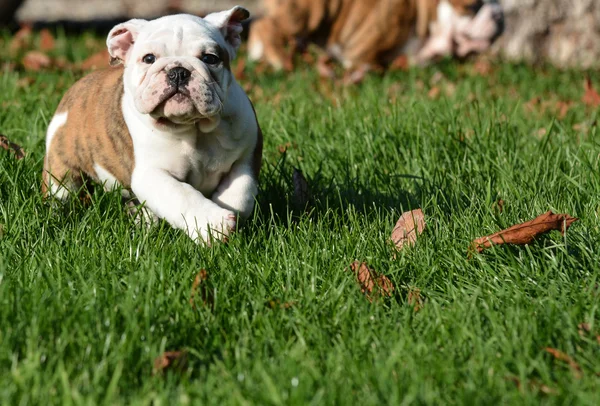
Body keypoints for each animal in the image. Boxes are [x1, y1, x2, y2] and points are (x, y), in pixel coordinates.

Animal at [43, 7, 264, 244]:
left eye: (210, 58)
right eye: (149, 58)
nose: (178, 71)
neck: (193, 127)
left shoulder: (246, 157)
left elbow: (241, 193)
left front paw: (227, 210)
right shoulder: (151, 174)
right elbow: (182, 196)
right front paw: (213, 223)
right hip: (62, 170)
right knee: (62, 192)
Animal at [246, 0, 504, 71]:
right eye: (472, 6)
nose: (499, 14)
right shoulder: (361, 54)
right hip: (311, 10)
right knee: (266, 25)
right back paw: (280, 60)